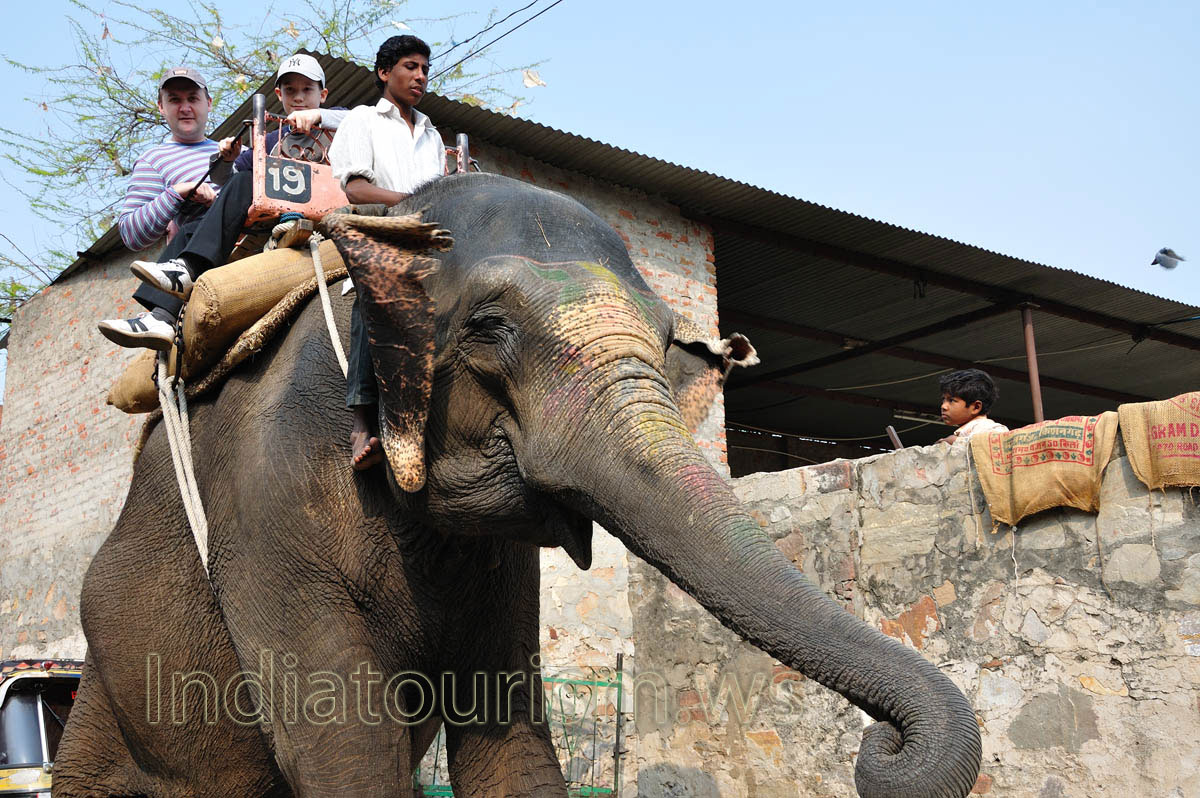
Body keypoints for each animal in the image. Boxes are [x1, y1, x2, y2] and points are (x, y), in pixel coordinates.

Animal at [54, 172, 982, 798]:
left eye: (668, 338)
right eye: (492, 328)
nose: (880, 750)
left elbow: (509, 740)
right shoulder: (266, 512)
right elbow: (343, 743)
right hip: (103, 689)